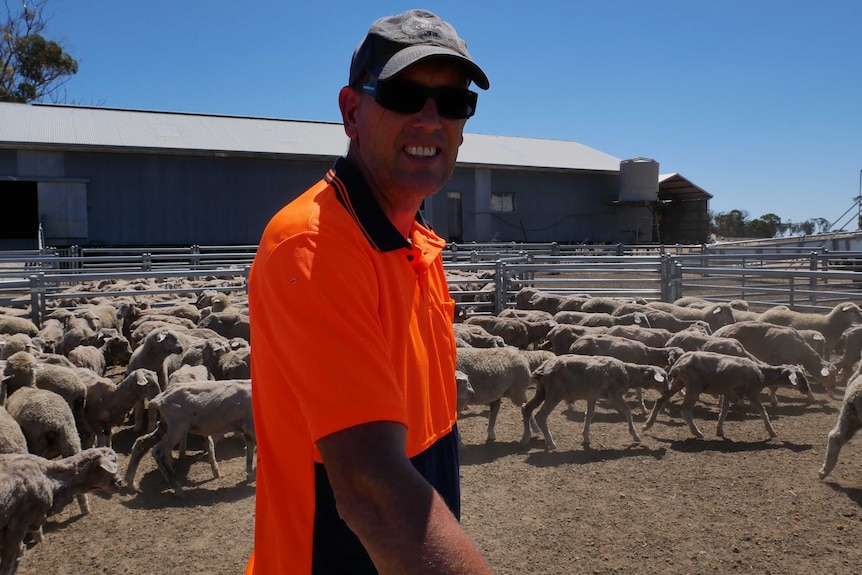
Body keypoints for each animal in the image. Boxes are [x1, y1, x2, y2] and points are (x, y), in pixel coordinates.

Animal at [124, 378, 256, 496]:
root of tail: (159, 399)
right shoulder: (250, 427)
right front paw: (252, 475)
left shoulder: (248, 431)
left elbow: (250, 450)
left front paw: (250, 474)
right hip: (177, 427)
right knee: (159, 451)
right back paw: (176, 487)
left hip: (165, 425)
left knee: (141, 442)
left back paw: (131, 482)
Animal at [520, 356, 668, 450]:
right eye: (664, 377)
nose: (667, 392)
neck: (628, 373)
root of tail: (541, 369)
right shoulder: (614, 394)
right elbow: (627, 410)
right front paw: (635, 436)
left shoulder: (592, 396)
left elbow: (589, 414)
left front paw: (586, 437)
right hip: (554, 393)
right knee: (541, 415)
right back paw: (551, 443)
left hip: (541, 391)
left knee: (526, 408)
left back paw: (526, 437)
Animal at [644, 352, 812, 440]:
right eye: (800, 377)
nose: (806, 389)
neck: (763, 374)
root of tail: (677, 364)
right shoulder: (750, 393)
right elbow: (763, 411)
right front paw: (771, 431)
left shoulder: (728, 392)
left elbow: (724, 411)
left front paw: (720, 430)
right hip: (693, 387)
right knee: (685, 410)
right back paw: (697, 433)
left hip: (679, 383)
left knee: (660, 400)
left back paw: (647, 425)